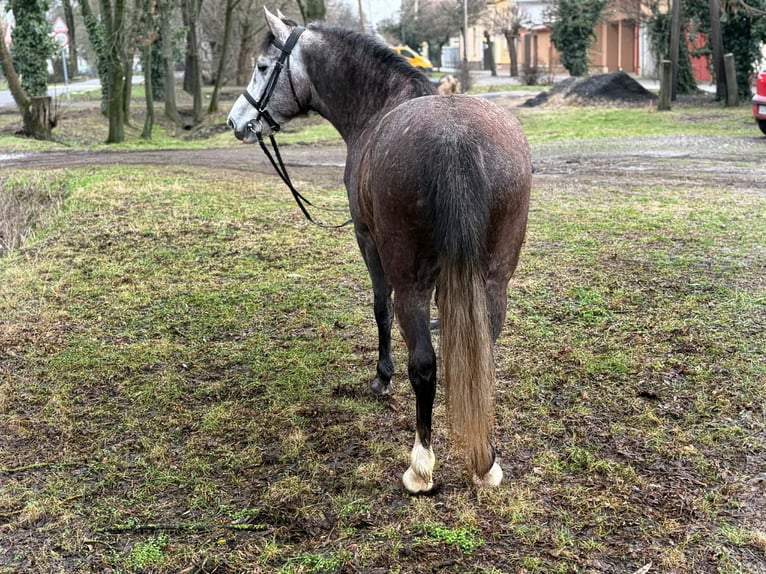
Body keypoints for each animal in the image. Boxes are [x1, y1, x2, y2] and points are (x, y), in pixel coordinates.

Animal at [227, 8, 531, 494]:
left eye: (261, 66)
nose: (236, 122)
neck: (380, 107)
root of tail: (455, 140)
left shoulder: (367, 241)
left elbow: (379, 309)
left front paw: (382, 377)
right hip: (495, 279)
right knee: (483, 351)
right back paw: (485, 460)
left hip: (409, 278)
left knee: (422, 363)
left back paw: (421, 465)